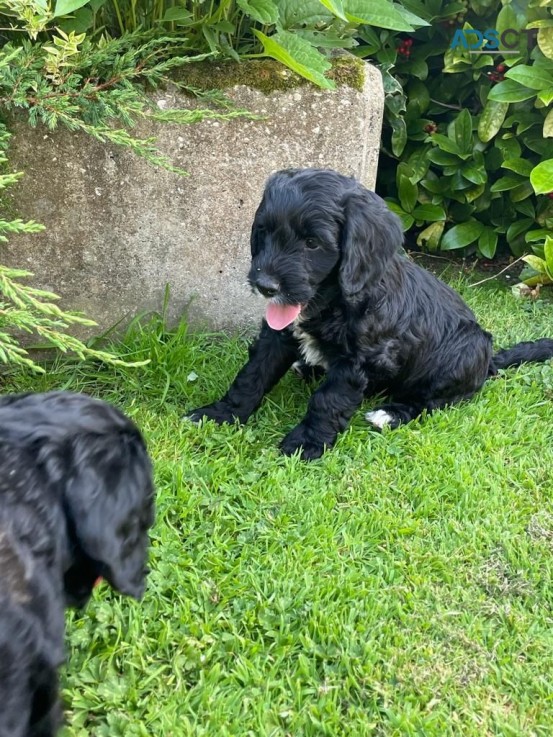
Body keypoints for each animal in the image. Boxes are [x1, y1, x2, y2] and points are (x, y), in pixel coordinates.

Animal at [189, 168, 552, 460]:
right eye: (263, 232)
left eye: (312, 243)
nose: (265, 285)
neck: (333, 300)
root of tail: (489, 360)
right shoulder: (276, 336)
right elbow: (252, 376)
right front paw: (220, 413)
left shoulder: (357, 360)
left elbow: (328, 400)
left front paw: (306, 443)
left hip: (460, 356)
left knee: (431, 402)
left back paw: (389, 414)